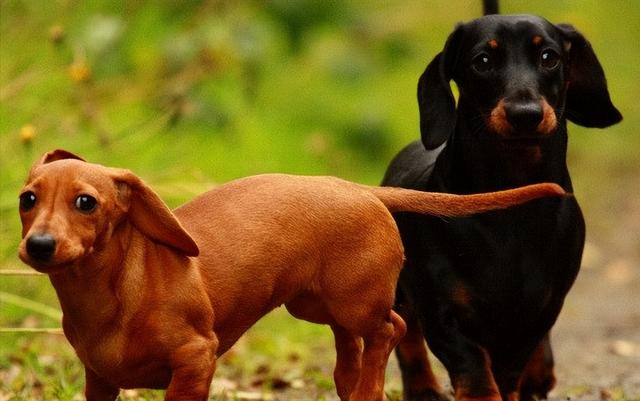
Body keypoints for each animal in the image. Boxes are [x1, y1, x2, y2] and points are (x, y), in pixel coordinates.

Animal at [16, 148, 564, 398]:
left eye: (86, 202)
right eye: (27, 199)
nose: (39, 246)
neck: (113, 293)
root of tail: (362, 190)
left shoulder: (196, 359)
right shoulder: (99, 380)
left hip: (357, 301)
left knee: (391, 328)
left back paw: (366, 389)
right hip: (314, 304)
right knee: (350, 341)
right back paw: (348, 381)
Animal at [382, 10, 624, 400]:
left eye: (549, 57)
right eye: (482, 61)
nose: (525, 114)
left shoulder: (541, 308)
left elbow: (512, 363)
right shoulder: (441, 310)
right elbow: (471, 362)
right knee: (407, 337)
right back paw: (423, 389)